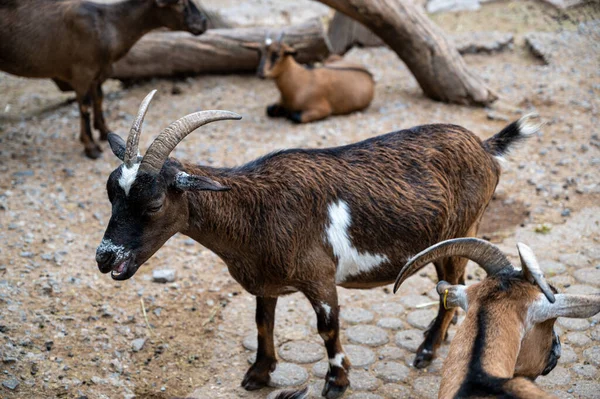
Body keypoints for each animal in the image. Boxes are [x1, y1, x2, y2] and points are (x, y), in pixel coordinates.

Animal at [0, 0, 209, 159]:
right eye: (181, 3)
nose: (204, 22)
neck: (108, 24)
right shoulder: (82, 73)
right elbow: (85, 107)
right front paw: (91, 147)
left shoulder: (96, 74)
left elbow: (99, 99)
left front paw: (103, 131)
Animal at [95, 91, 540, 399]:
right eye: (110, 193)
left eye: (154, 203)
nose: (104, 258)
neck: (256, 210)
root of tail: (486, 146)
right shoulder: (265, 282)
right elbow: (262, 323)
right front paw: (258, 374)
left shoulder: (320, 277)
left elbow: (327, 327)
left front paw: (337, 381)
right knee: (454, 282)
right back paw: (440, 339)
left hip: (464, 226)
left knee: (451, 285)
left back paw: (427, 351)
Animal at [243, 35, 372, 124]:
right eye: (259, 53)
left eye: (277, 54)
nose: (260, 73)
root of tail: (369, 74)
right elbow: (269, 109)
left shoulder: (323, 109)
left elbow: (295, 116)